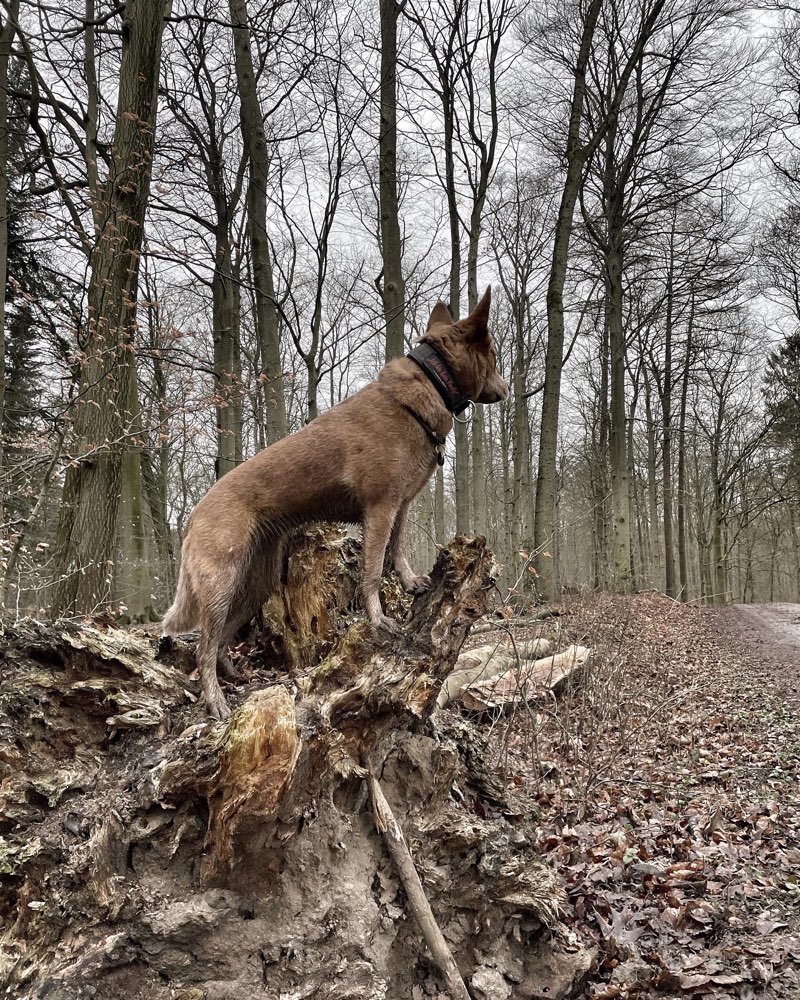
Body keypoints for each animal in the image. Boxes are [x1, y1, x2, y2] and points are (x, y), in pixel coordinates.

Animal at [163, 286, 510, 716]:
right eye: (494, 356)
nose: (507, 388)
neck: (428, 386)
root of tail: (193, 513)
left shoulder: (400, 507)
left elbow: (397, 551)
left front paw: (411, 581)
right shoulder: (379, 509)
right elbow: (373, 571)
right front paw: (378, 619)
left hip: (253, 585)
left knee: (223, 638)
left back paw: (233, 675)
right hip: (221, 585)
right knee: (204, 647)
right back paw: (216, 700)